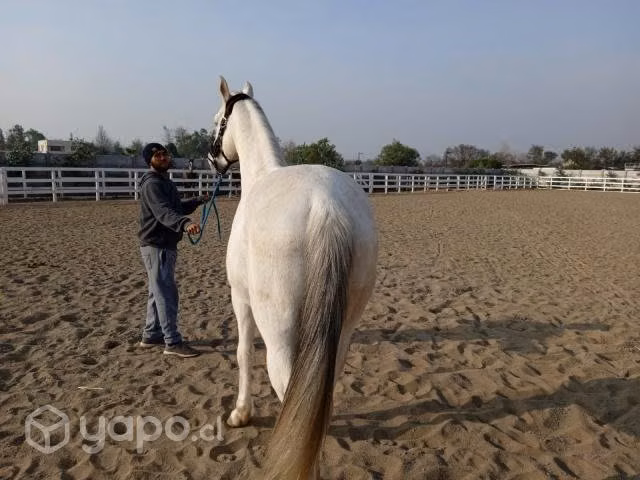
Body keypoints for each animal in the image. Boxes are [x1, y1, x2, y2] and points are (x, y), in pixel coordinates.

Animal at [207, 76, 378, 479]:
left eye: (217, 121)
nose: (210, 159)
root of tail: (326, 207)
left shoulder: (240, 298)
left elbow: (242, 353)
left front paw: (241, 413)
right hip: (344, 328)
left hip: (280, 331)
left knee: (288, 387)